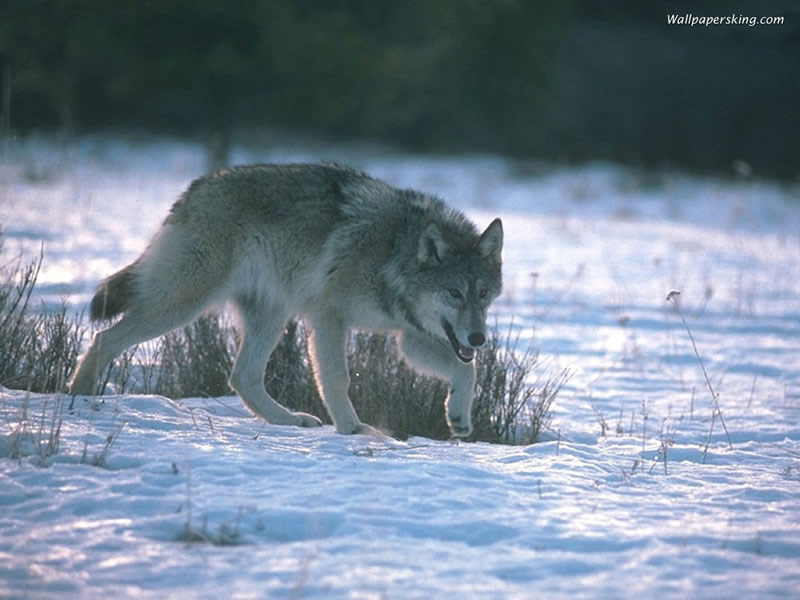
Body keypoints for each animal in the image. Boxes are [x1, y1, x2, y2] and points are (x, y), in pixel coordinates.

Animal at [72, 163, 504, 436]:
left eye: (483, 294)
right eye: (454, 293)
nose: (479, 338)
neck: (392, 252)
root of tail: (196, 188)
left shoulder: (409, 338)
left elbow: (466, 371)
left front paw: (459, 418)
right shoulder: (330, 316)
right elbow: (337, 378)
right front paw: (351, 429)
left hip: (270, 317)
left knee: (242, 376)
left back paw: (288, 420)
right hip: (185, 303)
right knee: (105, 338)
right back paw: (78, 397)